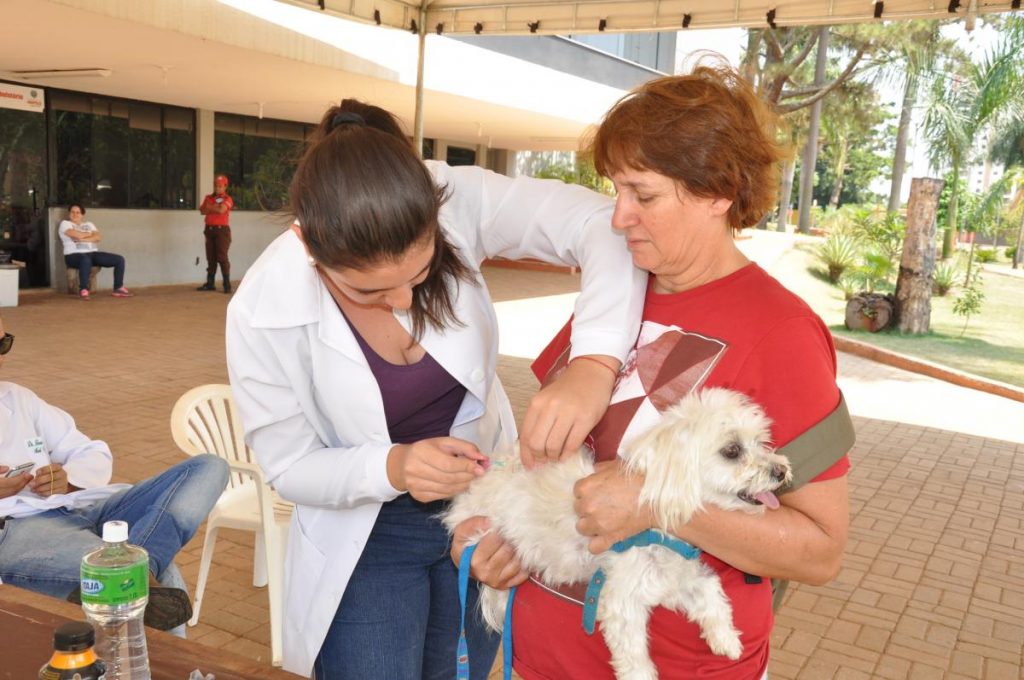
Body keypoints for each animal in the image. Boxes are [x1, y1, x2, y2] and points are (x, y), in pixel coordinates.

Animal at [442, 387, 790, 680]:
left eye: (761, 441)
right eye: (731, 450)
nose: (781, 470)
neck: (656, 532)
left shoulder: (675, 579)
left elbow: (712, 595)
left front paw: (726, 639)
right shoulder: (625, 601)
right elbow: (636, 661)